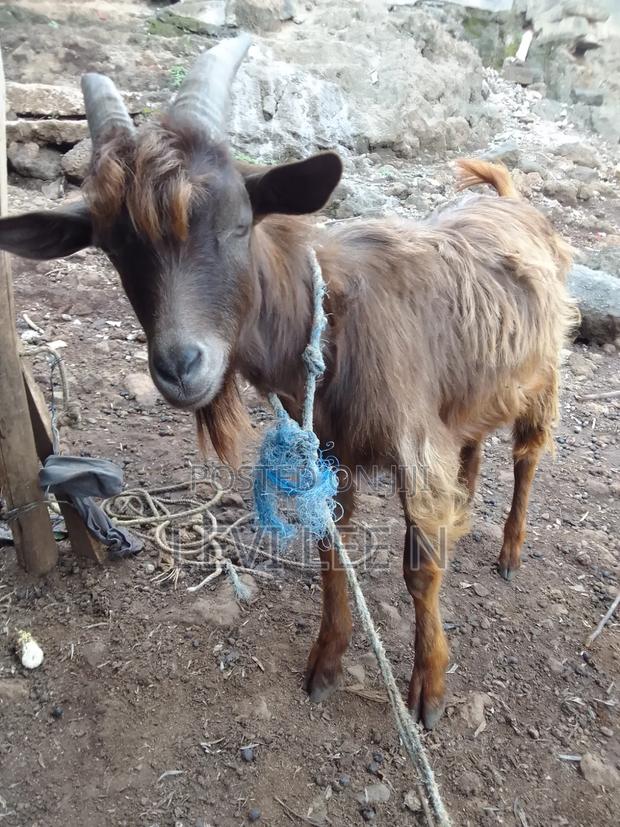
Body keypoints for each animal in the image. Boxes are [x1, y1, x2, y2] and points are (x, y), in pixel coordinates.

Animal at [0, 35, 577, 728]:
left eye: (238, 223)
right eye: (112, 248)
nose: (180, 366)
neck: (328, 323)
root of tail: (509, 196)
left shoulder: (415, 447)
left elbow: (419, 570)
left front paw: (429, 690)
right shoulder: (331, 450)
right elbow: (332, 555)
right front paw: (324, 665)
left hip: (543, 376)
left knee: (526, 457)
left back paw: (510, 553)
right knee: (475, 447)